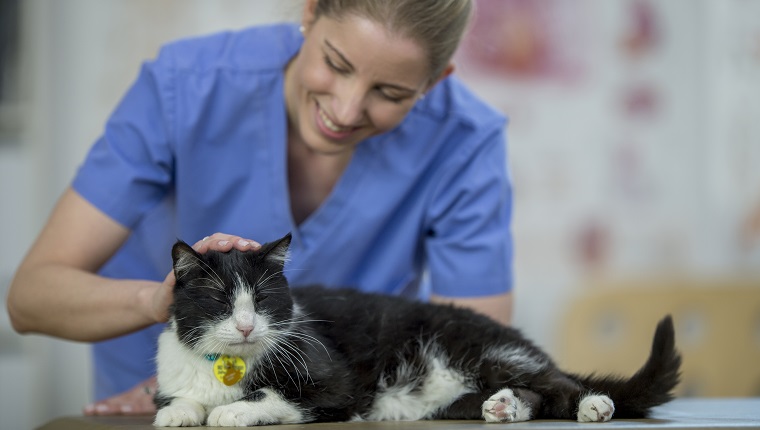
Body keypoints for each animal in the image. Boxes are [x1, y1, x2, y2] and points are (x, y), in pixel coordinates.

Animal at [154, 233, 684, 424]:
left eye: (262, 300)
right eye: (221, 301)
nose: (246, 326)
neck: (232, 364)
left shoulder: (335, 383)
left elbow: (280, 396)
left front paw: (232, 411)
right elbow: (181, 397)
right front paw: (178, 412)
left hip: (479, 348)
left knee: (556, 383)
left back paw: (594, 404)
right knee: (534, 395)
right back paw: (504, 407)